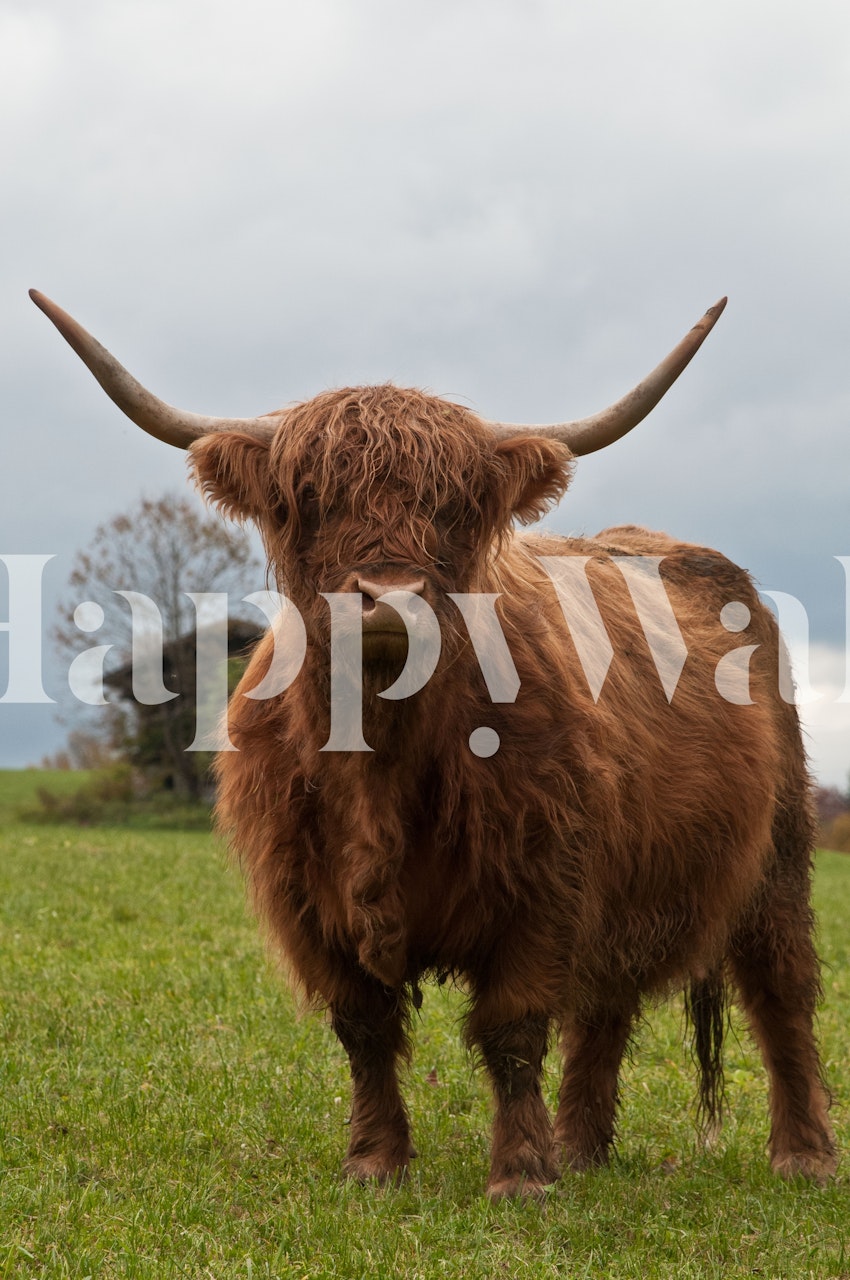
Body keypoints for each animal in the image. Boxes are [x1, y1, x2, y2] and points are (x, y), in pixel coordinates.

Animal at [31, 289, 837, 1198]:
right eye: (307, 497)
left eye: (454, 506)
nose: (388, 596)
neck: (380, 756)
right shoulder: (308, 901)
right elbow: (365, 1029)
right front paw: (376, 1163)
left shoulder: (544, 883)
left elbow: (513, 1029)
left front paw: (520, 1173)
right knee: (606, 1007)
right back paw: (583, 1148)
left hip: (778, 858)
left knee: (781, 994)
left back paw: (801, 1154)